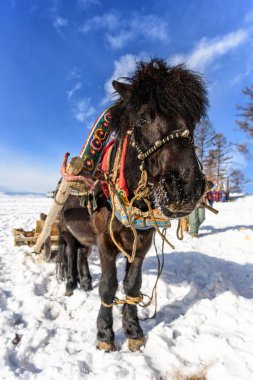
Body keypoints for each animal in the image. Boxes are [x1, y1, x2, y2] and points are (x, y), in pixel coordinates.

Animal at [57, 59, 208, 354]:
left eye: (193, 122)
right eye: (142, 119)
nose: (186, 188)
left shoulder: (142, 242)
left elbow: (132, 285)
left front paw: (134, 330)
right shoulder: (105, 241)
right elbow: (109, 285)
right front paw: (105, 334)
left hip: (84, 237)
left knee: (80, 255)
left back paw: (84, 281)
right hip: (67, 233)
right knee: (69, 256)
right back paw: (70, 284)